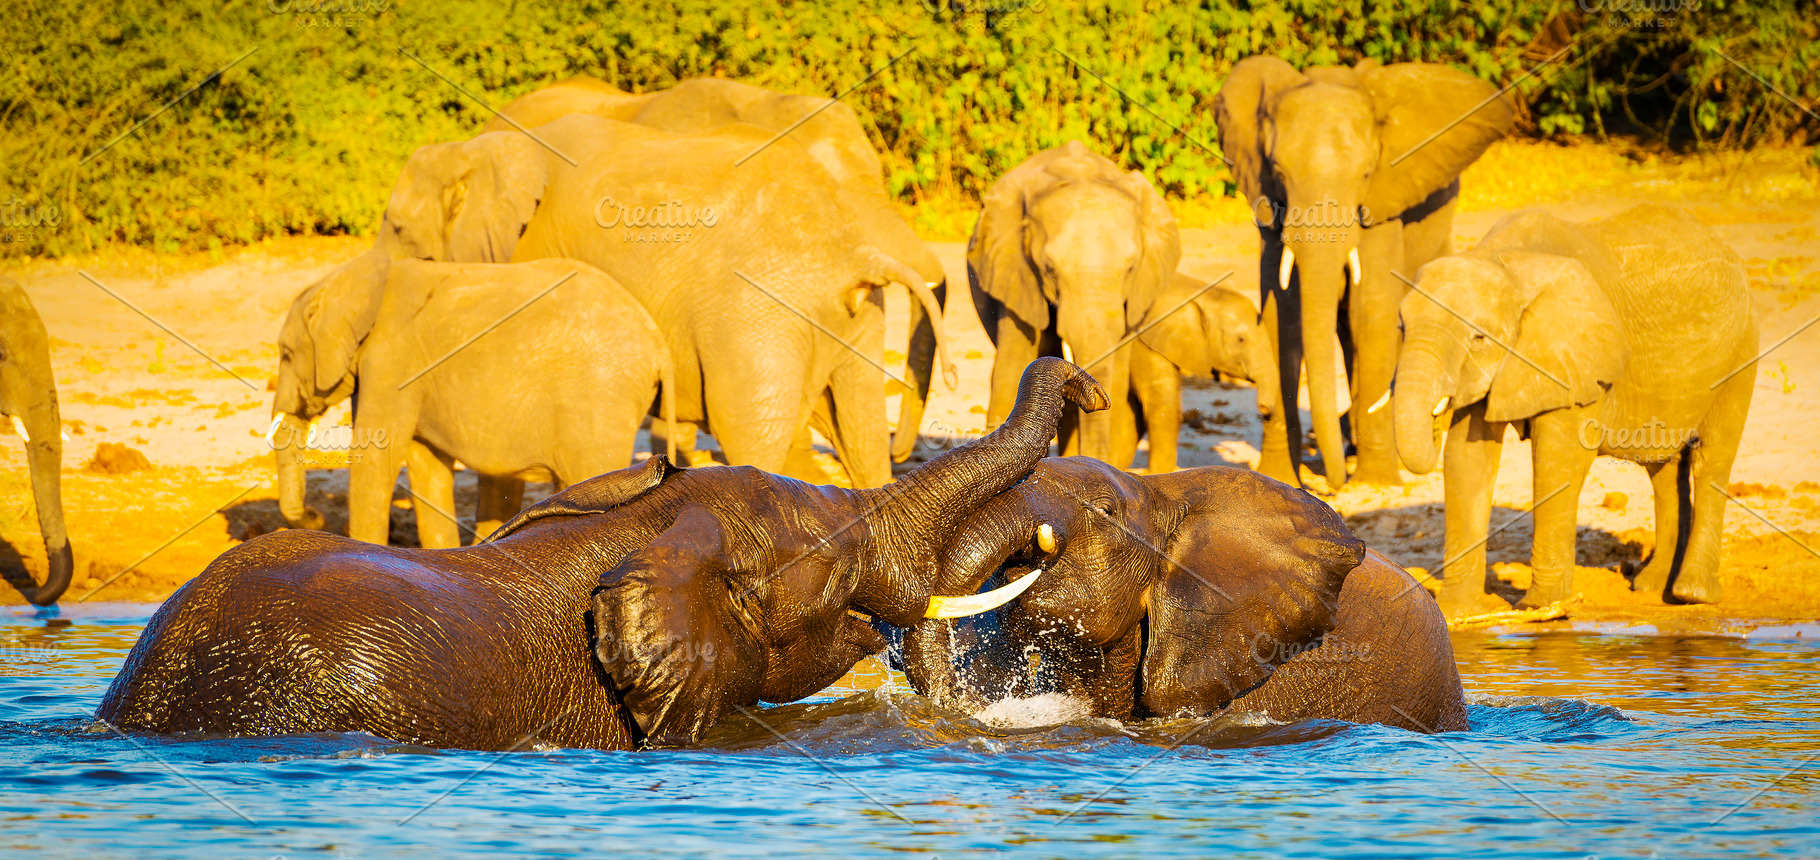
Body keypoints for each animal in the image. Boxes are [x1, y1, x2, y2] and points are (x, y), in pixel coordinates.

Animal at [376, 116, 953, 491]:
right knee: (860, 435)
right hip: (847, 318)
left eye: (399, 228)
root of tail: (854, 252)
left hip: (757, 314)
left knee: (755, 437)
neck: (480, 148)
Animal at [969, 141, 1181, 463]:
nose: (1096, 399)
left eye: (1131, 269)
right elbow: (1009, 369)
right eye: (1049, 269)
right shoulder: (1017, 277)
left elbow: (1118, 377)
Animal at [1118, 272, 1283, 474]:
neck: (1199, 291)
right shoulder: (1141, 337)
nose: (1264, 408)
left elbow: (1136, 413)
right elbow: (1158, 398)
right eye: (1241, 340)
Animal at [1214, 56, 1512, 487]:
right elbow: (1281, 316)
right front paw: (1282, 478)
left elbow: (1371, 312)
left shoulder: (1382, 205)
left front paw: (1374, 482)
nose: (1333, 485)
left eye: (1366, 176)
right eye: (1279, 173)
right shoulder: (1269, 212)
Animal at [1393, 206, 1758, 613]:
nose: (1435, 414)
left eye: (1478, 337)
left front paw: (1541, 607)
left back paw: (1691, 595)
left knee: (1712, 459)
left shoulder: (1573, 357)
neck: (1503, 261)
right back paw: (1651, 587)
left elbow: (1557, 461)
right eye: (1401, 328)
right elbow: (1467, 460)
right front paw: (1457, 612)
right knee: (1663, 470)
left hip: (1739, 354)